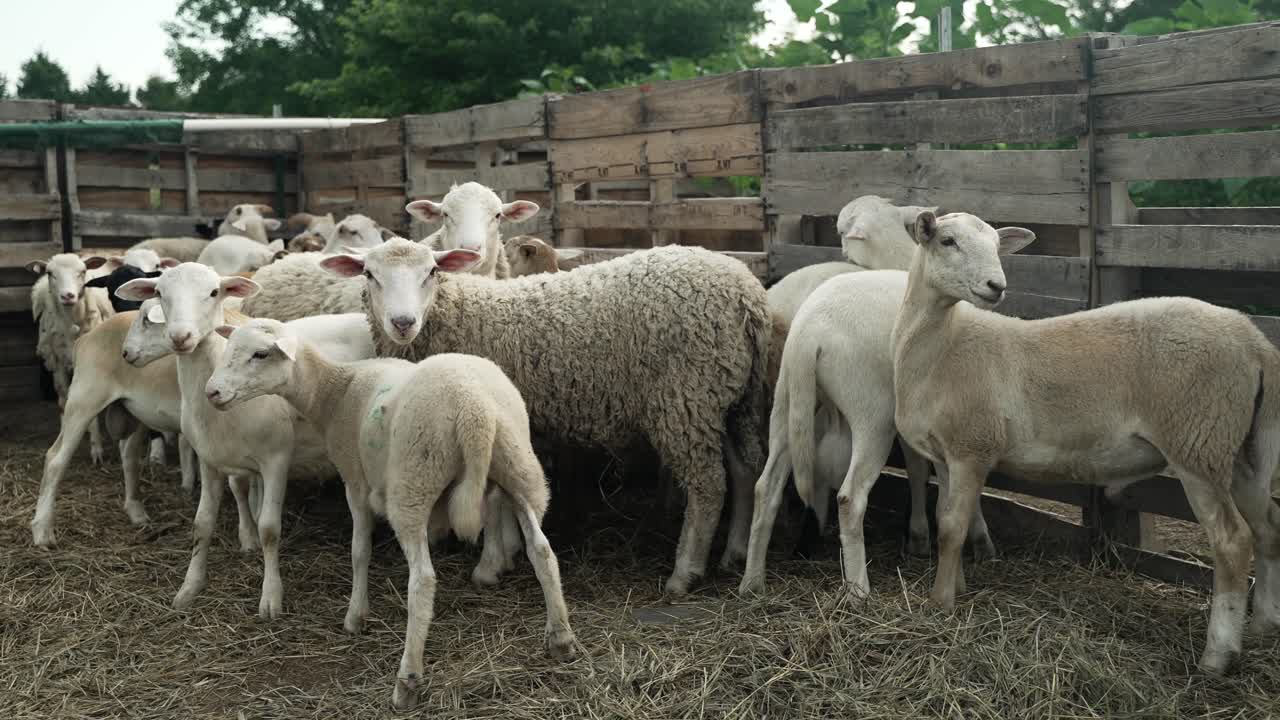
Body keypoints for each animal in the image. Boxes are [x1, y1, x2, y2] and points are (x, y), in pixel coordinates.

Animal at [115, 264, 385, 617]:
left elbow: (270, 529)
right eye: (160, 293)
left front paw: (271, 597)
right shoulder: (210, 461)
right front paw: (189, 587)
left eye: (214, 292)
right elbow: (202, 523)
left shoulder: (276, 460)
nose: (181, 337)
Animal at [206, 320, 577, 710]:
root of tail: (473, 409)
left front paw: (356, 615)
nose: (211, 392)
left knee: (423, 581)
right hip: (518, 468)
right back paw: (561, 639)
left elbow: (359, 551)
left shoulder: (355, 481)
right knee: (542, 551)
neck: (334, 392)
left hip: (413, 483)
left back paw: (407, 680)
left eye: (260, 354)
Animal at [319, 239, 770, 594]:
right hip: (731, 398)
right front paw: (508, 551)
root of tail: (746, 292)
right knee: (745, 469)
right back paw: (735, 551)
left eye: (431, 271)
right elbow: (503, 492)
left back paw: (685, 572)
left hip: (685, 397)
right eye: (370, 274)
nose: (403, 322)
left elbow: (493, 497)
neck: (458, 313)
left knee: (709, 486)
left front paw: (490, 564)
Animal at [891, 210, 1280, 674]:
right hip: (1237, 449)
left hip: (1196, 440)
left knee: (1232, 541)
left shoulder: (973, 448)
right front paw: (958, 587)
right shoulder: (948, 453)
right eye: (947, 241)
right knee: (1268, 526)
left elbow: (951, 528)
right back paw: (1263, 626)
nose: (996, 286)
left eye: (997, 246)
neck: (941, 345)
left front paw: (939, 604)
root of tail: (1254, 341)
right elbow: (950, 519)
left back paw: (1217, 655)